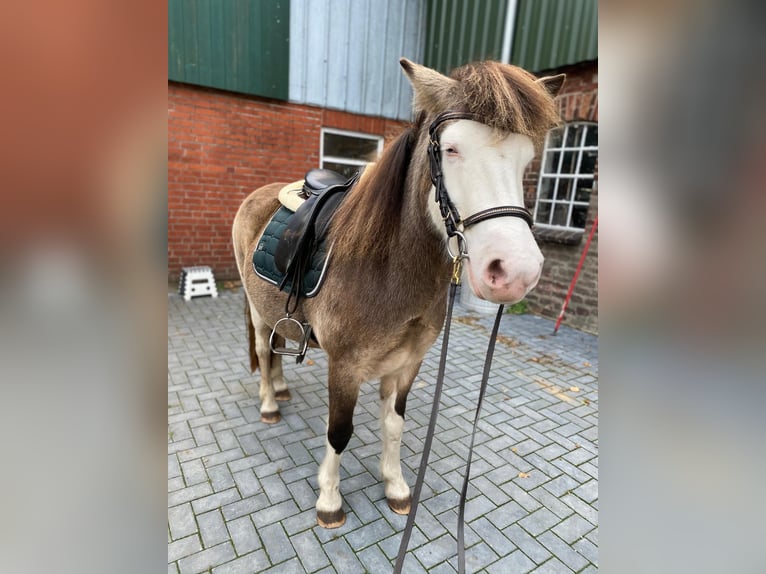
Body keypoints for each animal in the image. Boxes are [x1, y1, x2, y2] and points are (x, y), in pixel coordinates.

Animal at [232, 58, 564, 528]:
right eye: (451, 149)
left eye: (527, 159)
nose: (516, 270)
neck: (386, 272)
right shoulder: (345, 367)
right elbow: (340, 431)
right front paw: (329, 499)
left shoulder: (408, 364)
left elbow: (394, 424)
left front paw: (396, 486)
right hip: (257, 311)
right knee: (263, 351)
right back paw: (269, 405)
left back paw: (279, 388)